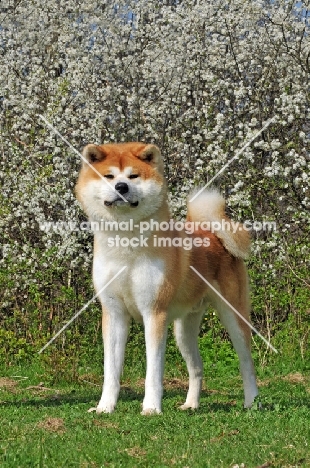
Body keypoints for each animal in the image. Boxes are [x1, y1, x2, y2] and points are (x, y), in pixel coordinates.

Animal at [75, 142, 260, 414]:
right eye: (108, 176)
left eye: (133, 176)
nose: (121, 187)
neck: (125, 244)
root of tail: (212, 234)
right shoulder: (114, 313)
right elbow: (111, 371)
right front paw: (104, 407)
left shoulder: (154, 312)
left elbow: (153, 371)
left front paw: (151, 408)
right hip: (183, 330)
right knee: (197, 367)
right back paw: (191, 404)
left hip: (233, 316)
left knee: (247, 363)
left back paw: (252, 402)